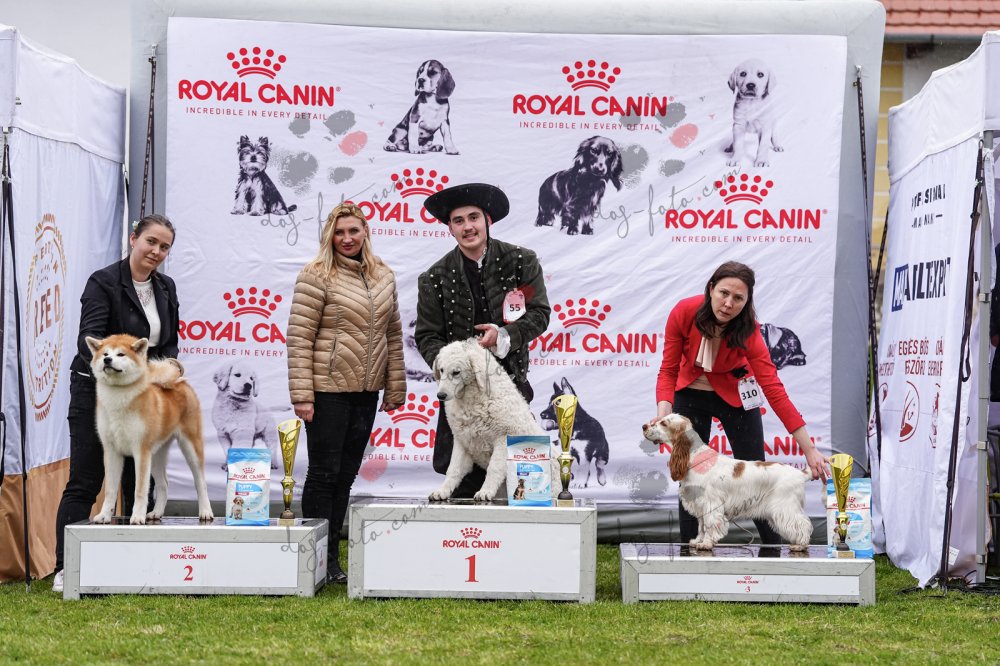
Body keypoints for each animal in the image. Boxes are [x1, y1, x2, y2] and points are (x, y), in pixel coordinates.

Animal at [86, 334, 214, 525]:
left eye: (121, 354)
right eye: (105, 354)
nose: (107, 360)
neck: (118, 398)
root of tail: (181, 382)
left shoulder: (141, 450)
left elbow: (140, 490)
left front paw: (137, 517)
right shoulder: (111, 451)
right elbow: (110, 490)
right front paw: (104, 515)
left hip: (190, 446)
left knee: (200, 483)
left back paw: (205, 512)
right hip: (157, 454)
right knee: (163, 484)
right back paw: (156, 513)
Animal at [428, 339, 556, 502]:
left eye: (456, 372)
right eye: (442, 370)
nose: (441, 395)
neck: (472, 398)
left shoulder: (503, 438)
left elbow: (494, 468)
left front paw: (485, 491)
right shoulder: (463, 441)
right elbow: (454, 469)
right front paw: (442, 491)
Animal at [642, 413, 811, 551]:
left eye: (664, 423)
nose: (644, 426)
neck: (693, 456)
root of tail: (800, 474)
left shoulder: (711, 504)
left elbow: (709, 525)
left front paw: (706, 544)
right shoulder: (700, 504)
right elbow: (701, 526)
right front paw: (698, 541)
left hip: (785, 507)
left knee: (803, 523)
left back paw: (800, 545)